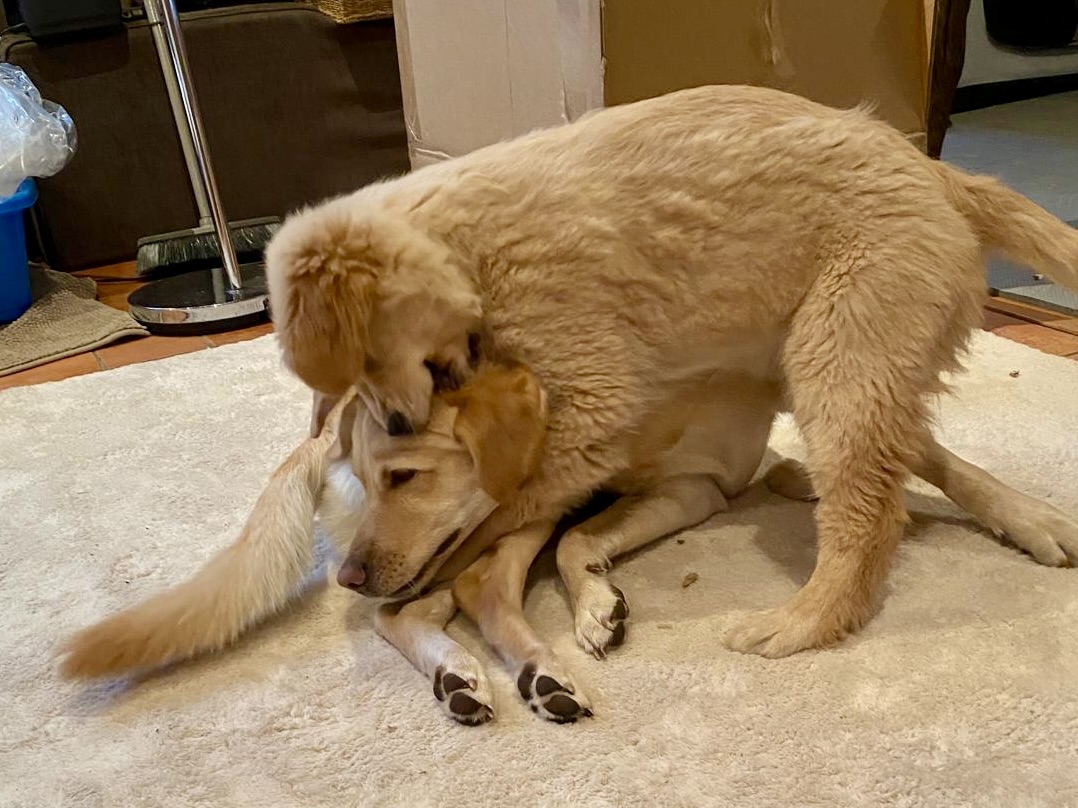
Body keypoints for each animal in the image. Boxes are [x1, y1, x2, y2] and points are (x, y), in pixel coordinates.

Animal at [265, 84, 1078, 657]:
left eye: (404, 474)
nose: (352, 577)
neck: (465, 248)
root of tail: (936, 169)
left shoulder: (591, 399)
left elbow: (498, 510)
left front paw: (426, 577)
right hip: (817, 360)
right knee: (910, 453)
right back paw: (1029, 521)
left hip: (840, 353)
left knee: (871, 514)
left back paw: (803, 620)